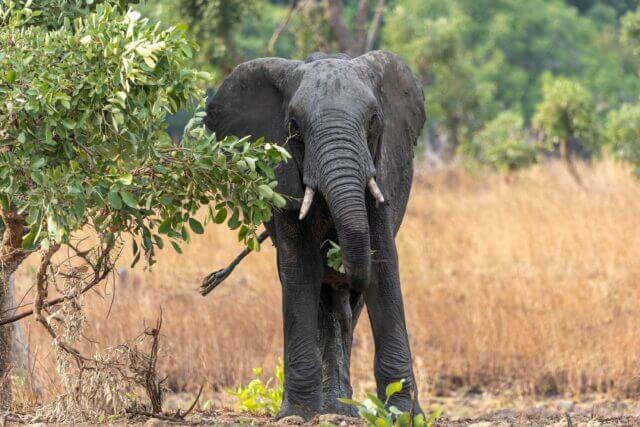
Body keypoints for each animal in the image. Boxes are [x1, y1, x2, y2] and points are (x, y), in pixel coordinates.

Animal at [205, 51, 426, 420]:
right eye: (294, 127)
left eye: (373, 121)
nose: (340, 261)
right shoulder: (282, 177)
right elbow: (300, 272)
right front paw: (296, 414)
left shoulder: (383, 172)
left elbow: (383, 268)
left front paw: (403, 416)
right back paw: (332, 408)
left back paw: (342, 409)